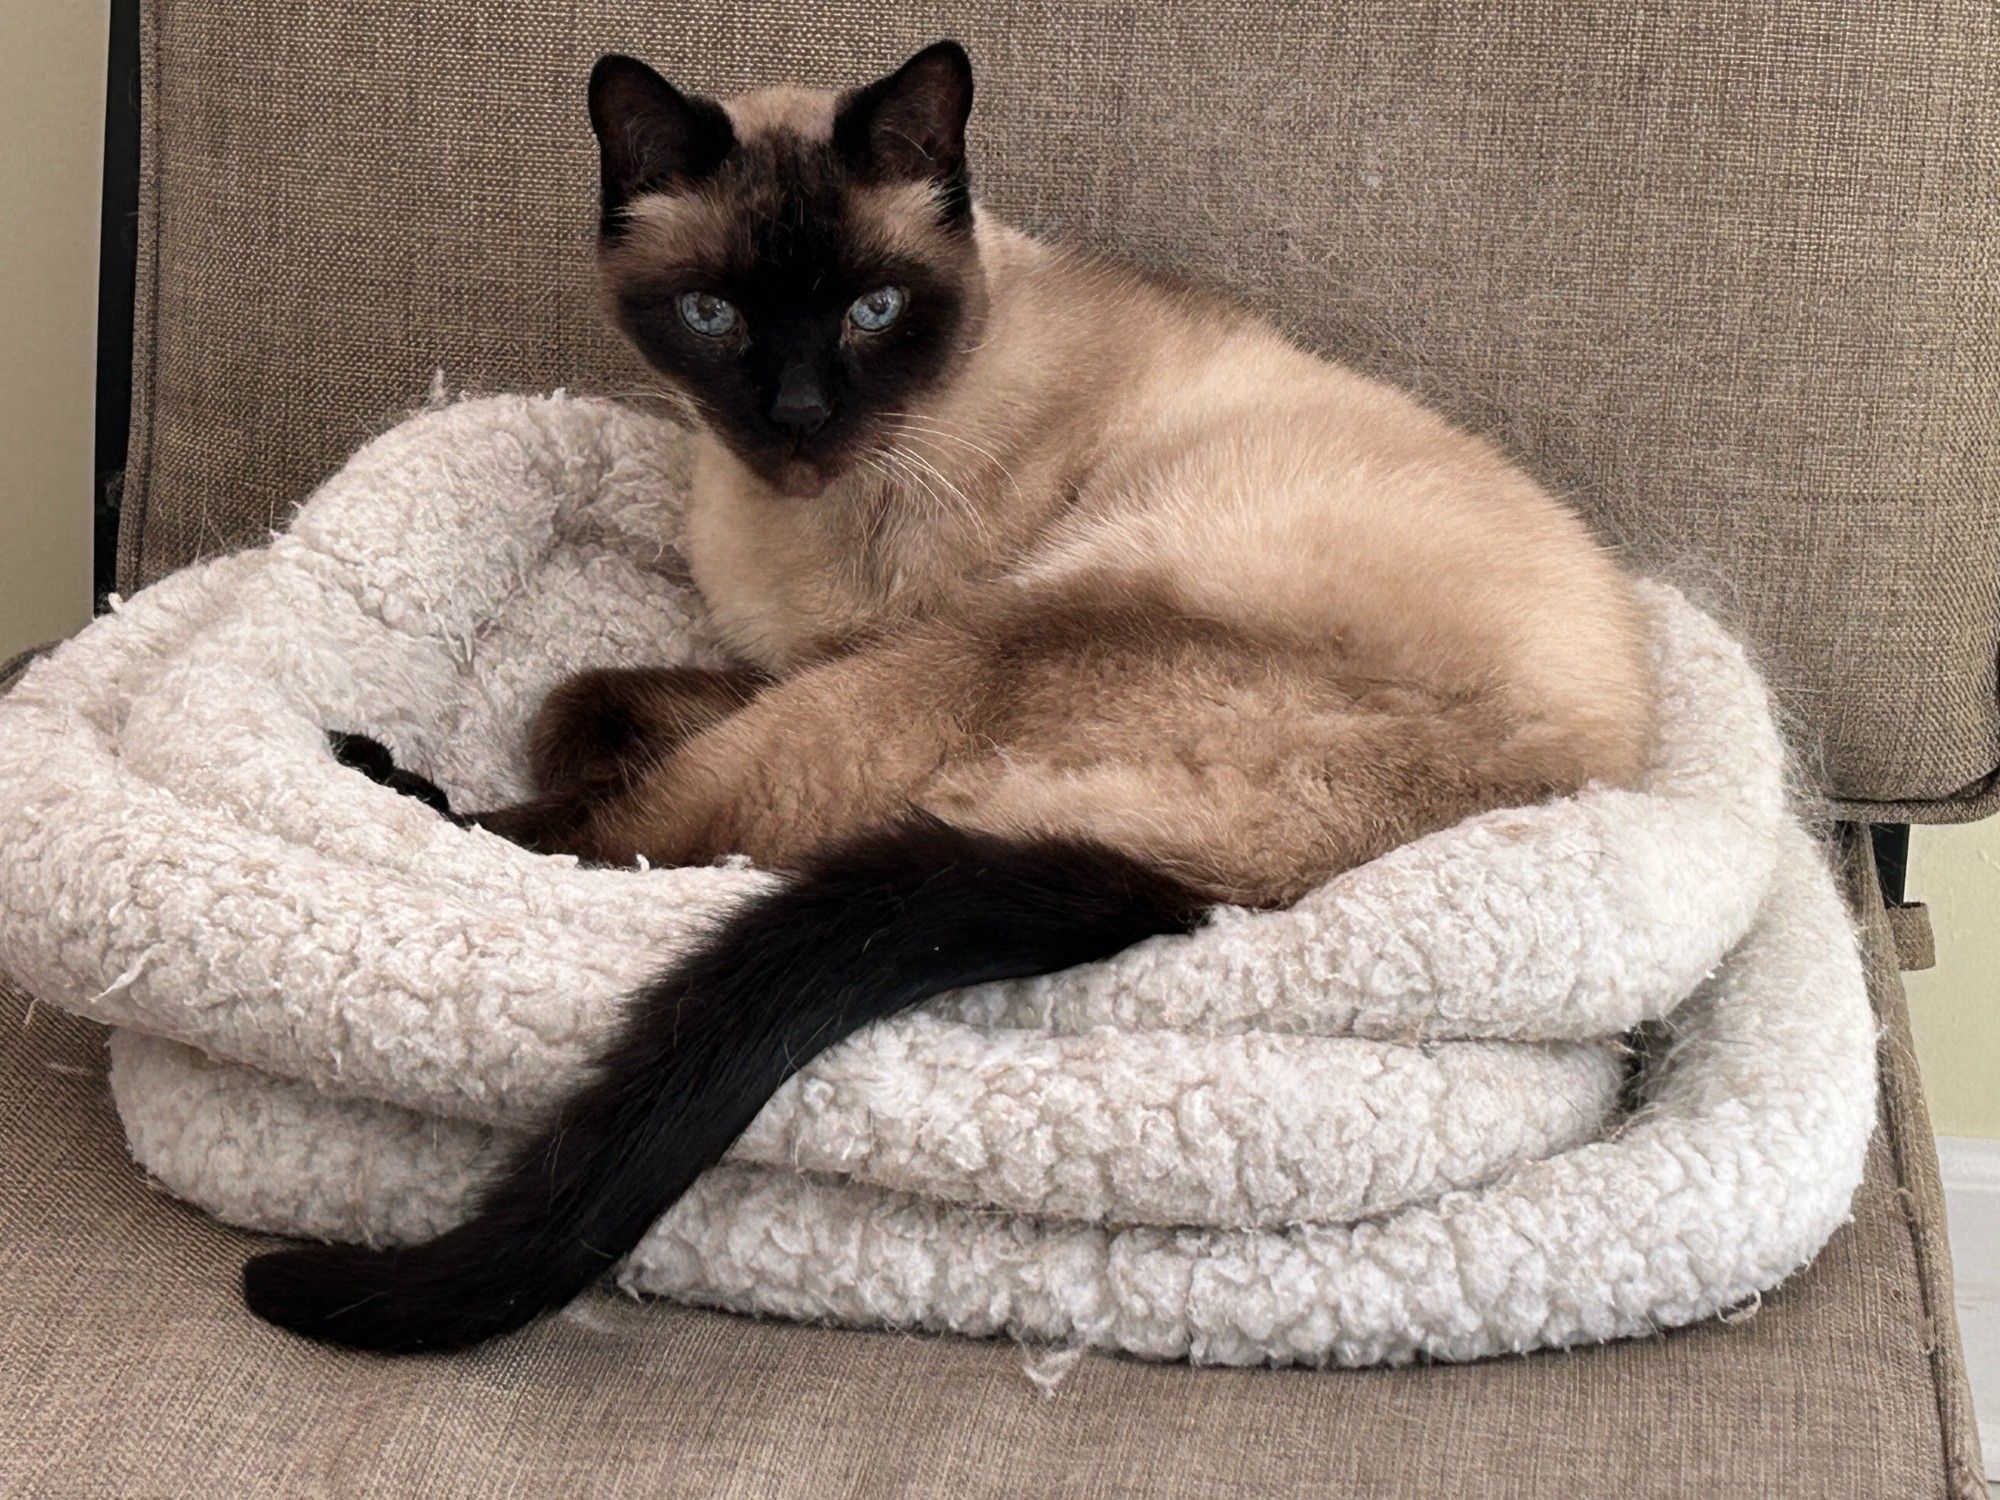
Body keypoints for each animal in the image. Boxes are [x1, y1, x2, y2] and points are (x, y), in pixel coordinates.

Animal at [242, 41, 1648, 1360]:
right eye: (711, 312)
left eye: (873, 309)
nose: (797, 415)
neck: (784, 511)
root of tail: (1249, 884)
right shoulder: (787, 658)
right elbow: (579, 699)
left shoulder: (860, 654)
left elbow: (608, 768)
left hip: (989, 642)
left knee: (642, 844)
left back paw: (381, 778)